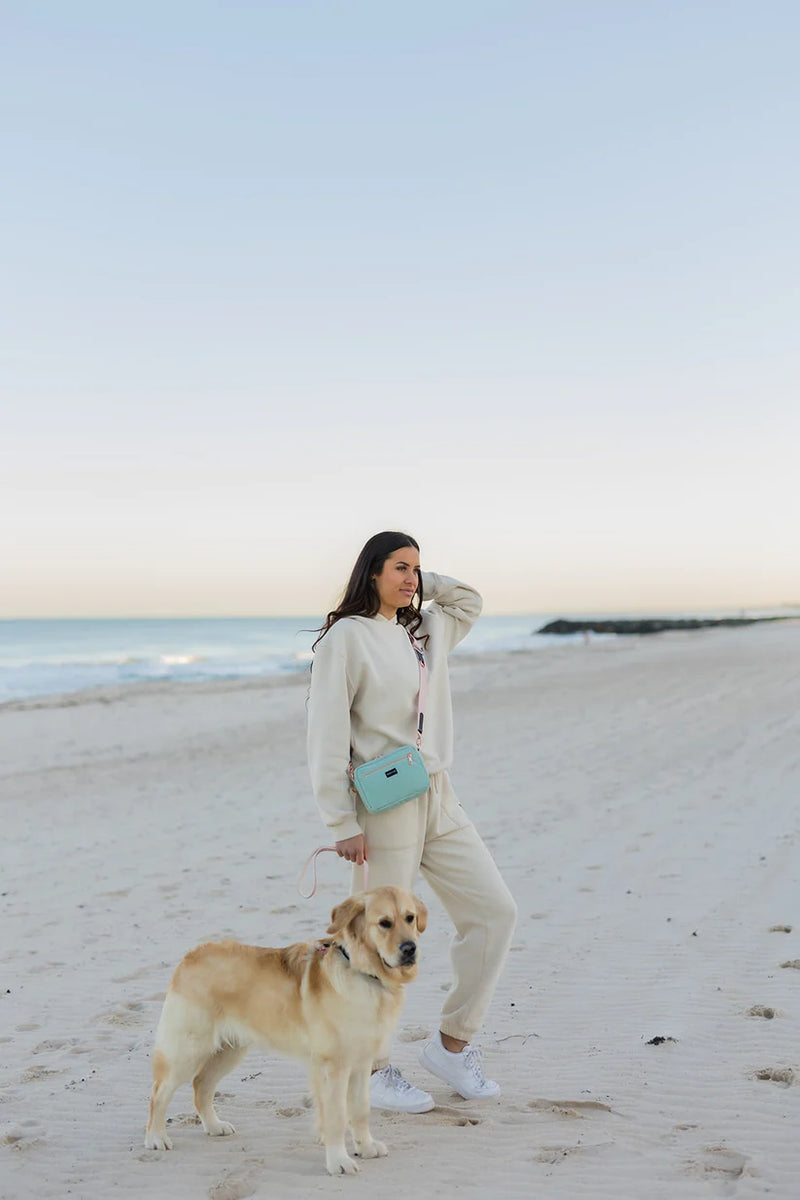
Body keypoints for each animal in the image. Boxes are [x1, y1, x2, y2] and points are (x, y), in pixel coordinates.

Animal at [146, 888, 429, 1176]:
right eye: (384, 923)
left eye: (410, 918)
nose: (410, 949)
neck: (363, 972)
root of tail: (190, 956)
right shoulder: (334, 1066)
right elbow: (337, 1116)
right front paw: (338, 1160)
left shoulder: (361, 1063)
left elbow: (360, 1109)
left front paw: (366, 1147)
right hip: (188, 1050)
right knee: (160, 1092)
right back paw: (156, 1137)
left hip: (229, 1051)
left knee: (201, 1085)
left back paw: (215, 1126)